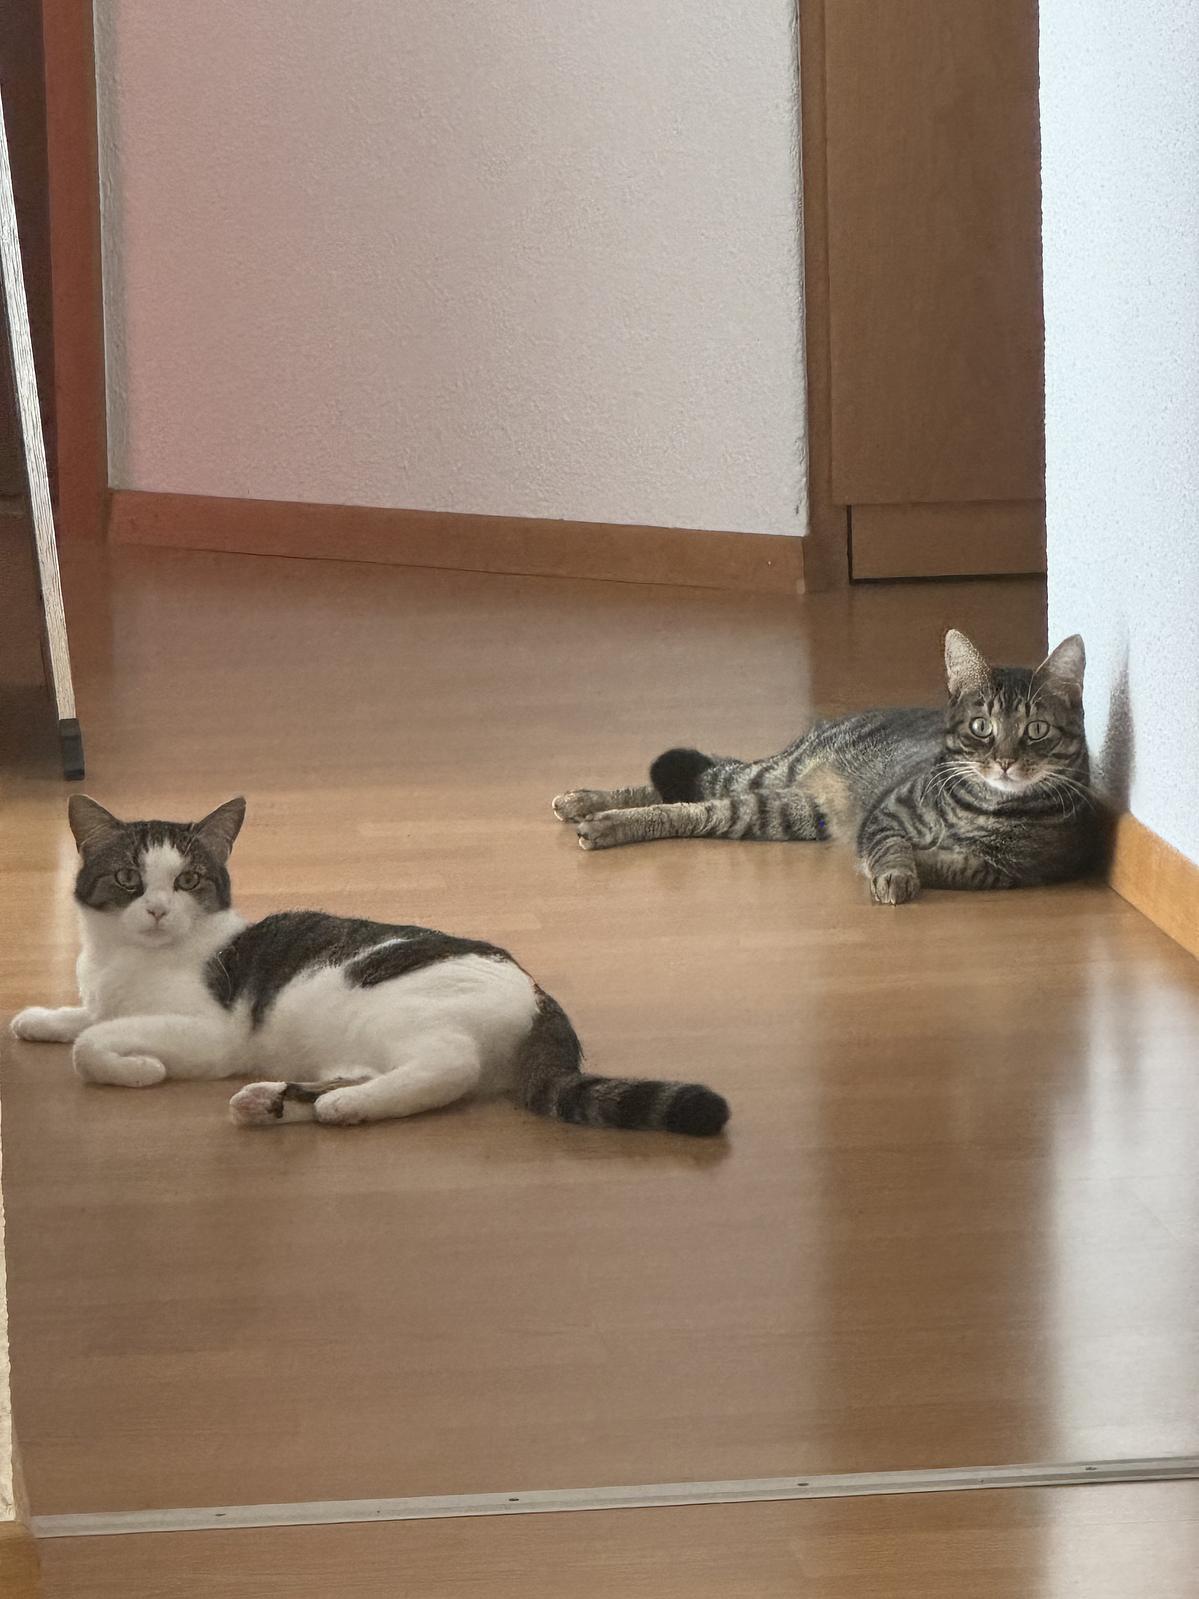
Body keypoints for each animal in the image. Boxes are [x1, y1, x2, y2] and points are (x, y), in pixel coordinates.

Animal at [9, 797, 729, 1136]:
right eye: (129, 879)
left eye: (187, 880)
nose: (158, 910)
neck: (123, 959)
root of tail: (541, 997)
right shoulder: (102, 995)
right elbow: (84, 1017)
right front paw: (39, 1018)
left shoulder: (212, 1035)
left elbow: (94, 1045)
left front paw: (136, 1067)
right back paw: (276, 1101)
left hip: (400, 1014)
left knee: (447, 1070)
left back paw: (341, 1107)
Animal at [553, 630, 1098, 905]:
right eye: (982, 727)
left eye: (1036, 730)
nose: (1004, 761)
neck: (982, 806)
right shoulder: (887, 814)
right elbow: (891, 846)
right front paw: (893, 872)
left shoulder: (1004, 870)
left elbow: (940, 860)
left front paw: (902, 870)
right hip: (774, 777)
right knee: (697, 786)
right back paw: (589, 807)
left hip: (780, 812)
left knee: (690, 801)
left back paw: (594, 817)